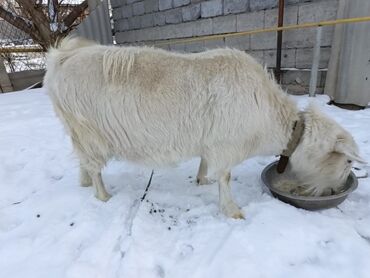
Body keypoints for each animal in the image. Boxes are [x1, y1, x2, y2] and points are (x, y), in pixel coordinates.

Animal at [44, 37, 364, 219]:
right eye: (348, 161)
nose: (336, 189)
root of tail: (61, 59)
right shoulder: (227, 144)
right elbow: (225, 176)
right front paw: (233, 211)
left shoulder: (212, 141)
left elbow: (205, 163)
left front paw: (201, 180)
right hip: (89, 131)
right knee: (95, 167)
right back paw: (103, 195)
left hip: (78, 133)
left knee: (83, 160)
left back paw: (84, 182)